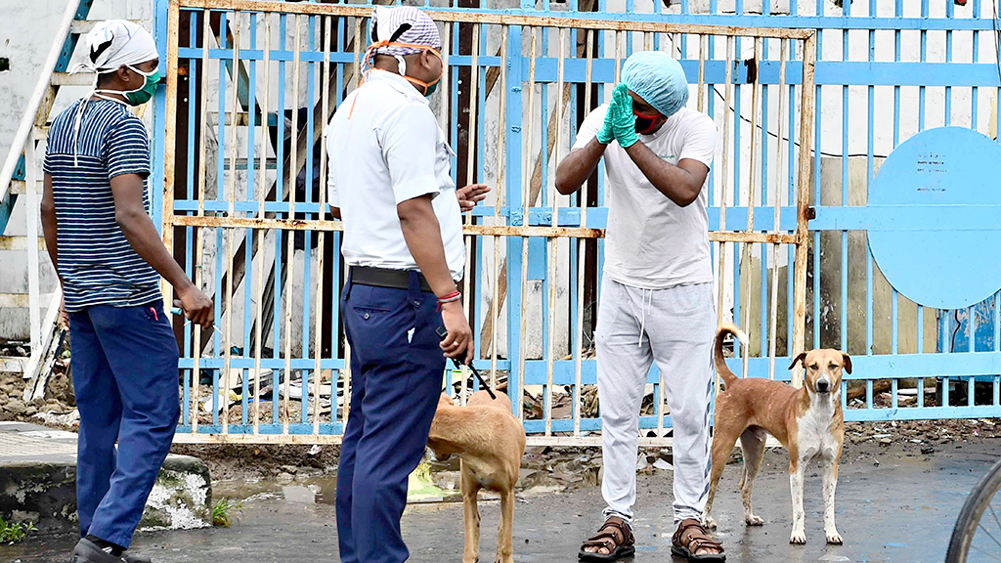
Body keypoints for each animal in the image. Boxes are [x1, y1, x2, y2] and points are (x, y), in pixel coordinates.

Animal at [426, 390, 528, 560]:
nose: (438, 458)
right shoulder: (469, 494)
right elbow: (469, 541)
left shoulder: (508, 493)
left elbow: (506, 543)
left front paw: (504, 556)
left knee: (503, 525)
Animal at [700, 324, 848, 544]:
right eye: (813, 366)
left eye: (833, 366)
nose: (822, 384)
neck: (820, 414)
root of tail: (735, 381)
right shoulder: (797, 466)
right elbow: (798, 508)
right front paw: (797, 534)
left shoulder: (831, 465)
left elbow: (829, 506)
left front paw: (831, 533)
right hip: (723, 446)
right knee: (711, 485)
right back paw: (706, 519)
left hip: (755, 451)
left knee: (745, 485)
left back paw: (749, 517)